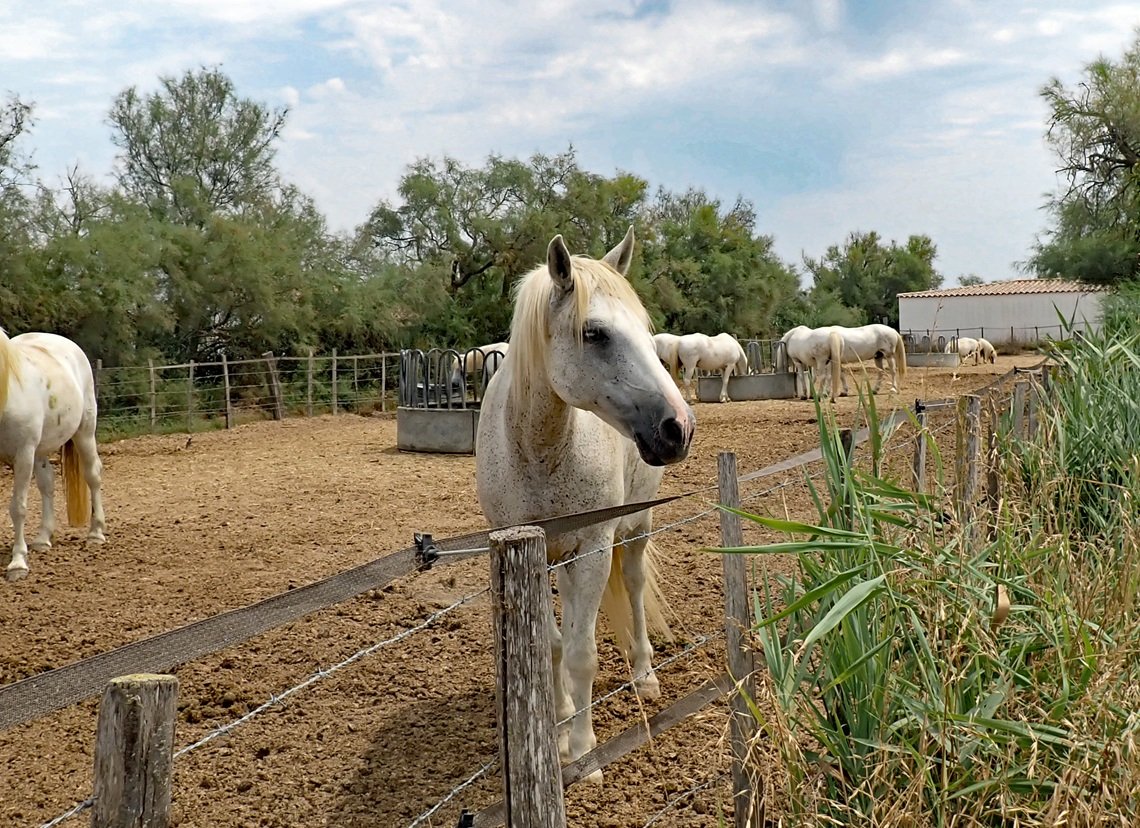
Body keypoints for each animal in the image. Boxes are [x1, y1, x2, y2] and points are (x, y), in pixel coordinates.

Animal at [1, 329, 106, 581]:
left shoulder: (23, 454)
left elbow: (18, 507)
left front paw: (18, 563)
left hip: (84, 433)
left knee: (93, 476)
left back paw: (96, 533)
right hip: (39, 452)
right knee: (47, 484)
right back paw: (42, 539)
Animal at [475, 228, 695, 782]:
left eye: (646, 330)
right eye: (594, 333)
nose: (679, 427)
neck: (539, 449)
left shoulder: (594, 544)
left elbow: (582, 654)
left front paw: (586, 751)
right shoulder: (531, 552)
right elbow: (553, 646)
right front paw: (554, 728)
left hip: (633, 527)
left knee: (633, 587)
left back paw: (644, 675)